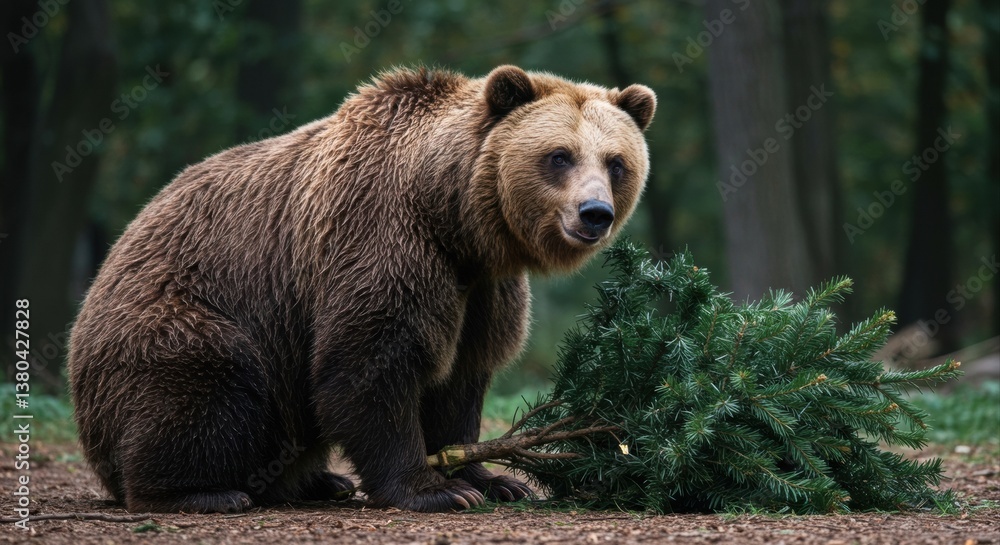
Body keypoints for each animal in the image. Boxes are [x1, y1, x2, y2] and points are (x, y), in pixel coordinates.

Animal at [68, 65, 656, 513]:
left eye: (616, 162)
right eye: (559, 155)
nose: (594, 213)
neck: (454, 219)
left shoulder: (482, 290)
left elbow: (461, 380)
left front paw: (491, 478)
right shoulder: (380, 238)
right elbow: (369, 365)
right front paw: (434, 489)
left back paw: (318, 480)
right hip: (179, 315)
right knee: (203, 384)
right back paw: (200, 492)